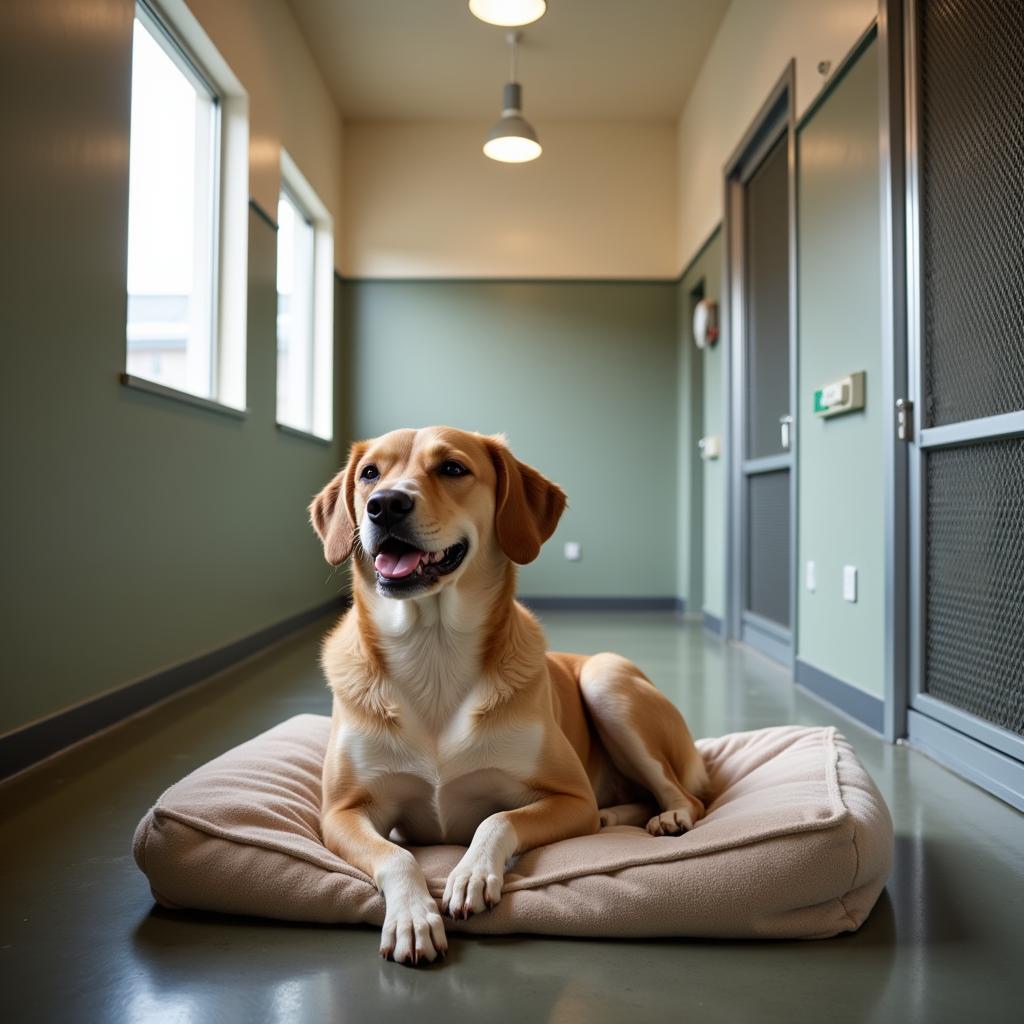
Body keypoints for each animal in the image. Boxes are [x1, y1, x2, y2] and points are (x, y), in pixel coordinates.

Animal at [309, 425, 704, 966]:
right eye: (370, 473)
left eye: (452, 468)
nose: (385, 505)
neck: (433, 651)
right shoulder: (341, 813)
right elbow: (396, 853)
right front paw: (412, 915)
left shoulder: (569, 797)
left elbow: (497, 819)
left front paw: (471, 873)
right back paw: (614, 815)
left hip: (606, 680)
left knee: (684, 795)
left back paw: (671, 815)